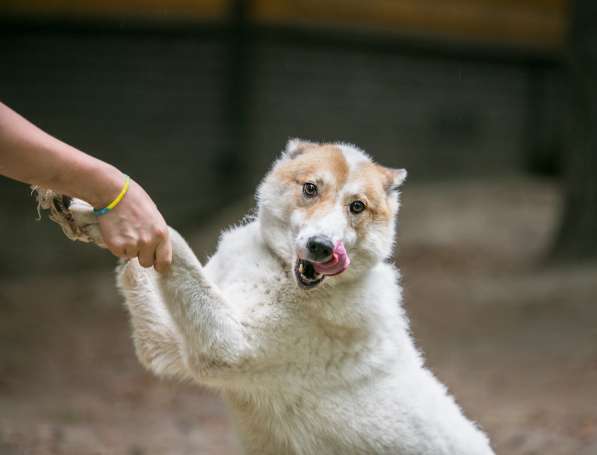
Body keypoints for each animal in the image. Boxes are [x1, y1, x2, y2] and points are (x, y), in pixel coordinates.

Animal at [33, 141, 494, 454]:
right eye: (311, 188)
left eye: (357, 207)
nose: (322, 247)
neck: (275, 266)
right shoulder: (166, 342)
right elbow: (145, 259)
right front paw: (82, 210)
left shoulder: (223, 346)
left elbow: (172, 238)